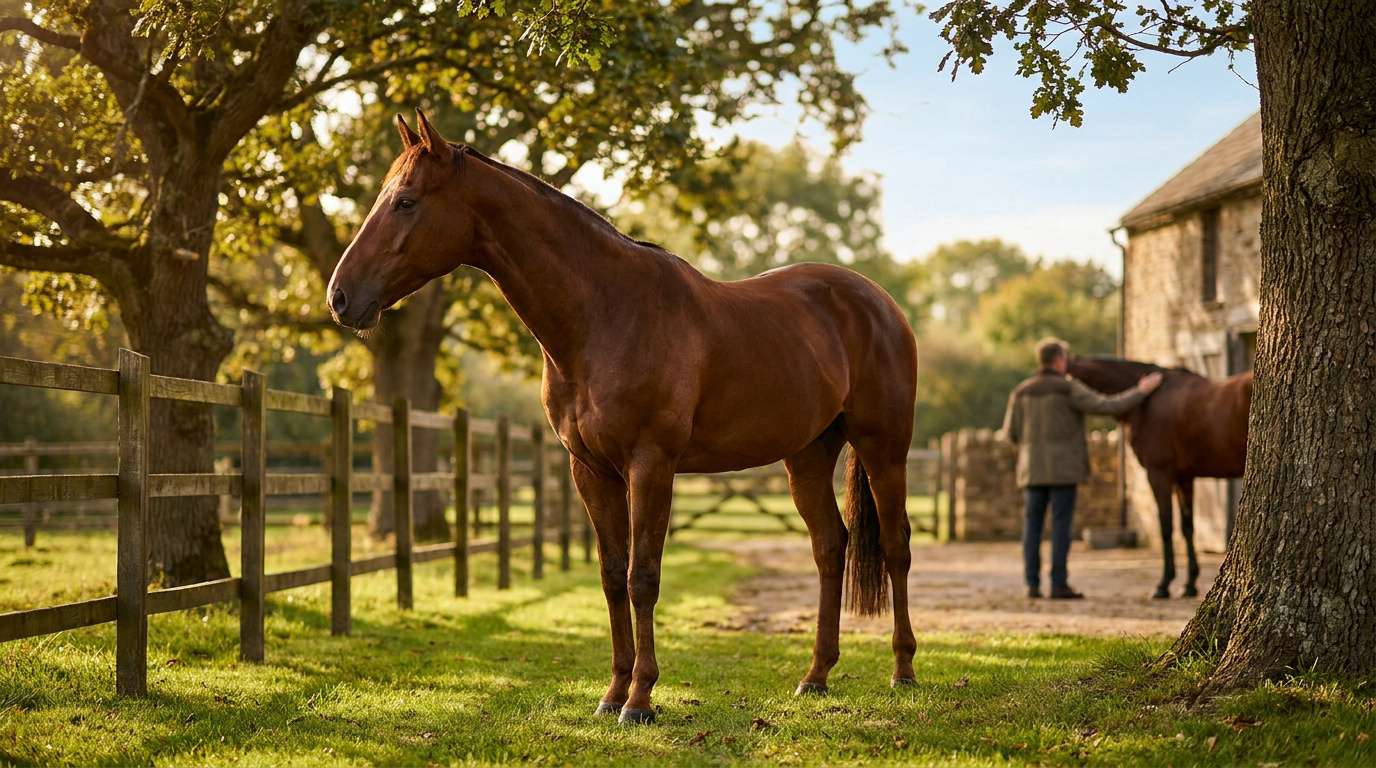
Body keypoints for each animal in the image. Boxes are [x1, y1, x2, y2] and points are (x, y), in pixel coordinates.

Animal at [326, 110, 919, 724]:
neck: (605, 315)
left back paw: (902, 670)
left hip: (884, 447)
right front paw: (612, 694)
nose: (340, 296)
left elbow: (643, 578)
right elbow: (612, 577)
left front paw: (641, 699)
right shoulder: (591, 471)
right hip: (807, 455)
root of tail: (878, 302)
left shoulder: (650, 466)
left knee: (895, 545)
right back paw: (815, 676)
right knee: (830, 546)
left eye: (406, 201)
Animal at [1066, 355, 1252, 598]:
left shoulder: (1158, 474)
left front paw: (1163, 585)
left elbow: (1166, 526)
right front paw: (1189, 584)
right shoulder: (1184, 478)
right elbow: (1187, 527)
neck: (1148, 402)